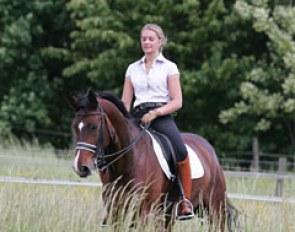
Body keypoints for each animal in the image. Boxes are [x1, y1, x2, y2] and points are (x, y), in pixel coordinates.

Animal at [68, 89, 239, 231]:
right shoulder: (115, 208)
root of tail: (208, 148)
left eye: (94, 127)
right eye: (75, 127)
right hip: (172, 211)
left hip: (215, 208)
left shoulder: (143, 209)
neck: (129, 159)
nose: (80, 167)